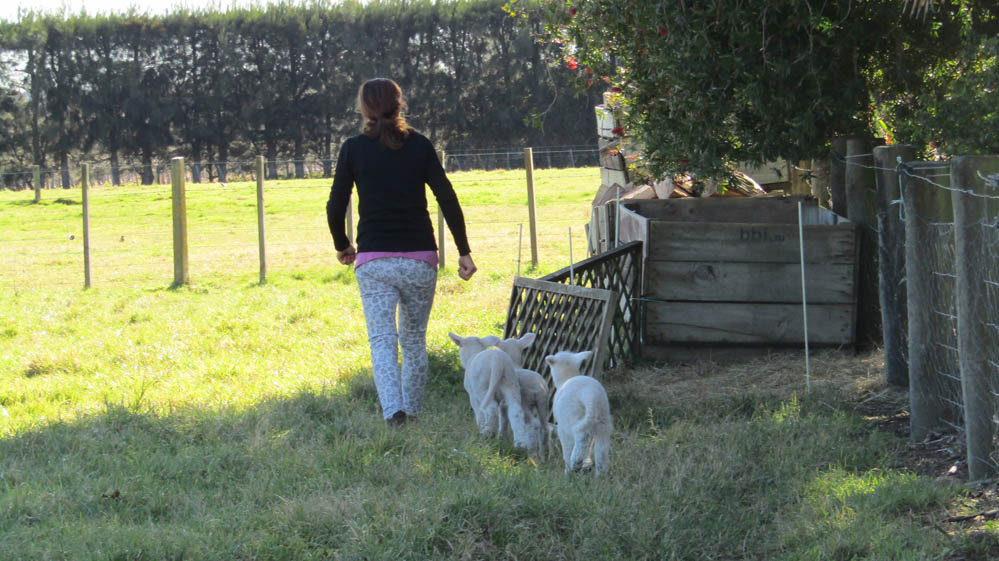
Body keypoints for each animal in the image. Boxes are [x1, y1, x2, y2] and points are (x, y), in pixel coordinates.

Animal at [482, 332, 552, 460]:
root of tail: (539, 388)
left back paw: (531, 452)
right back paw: (544, 456)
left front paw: (501, 437)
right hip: (543, 404)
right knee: (545, 427)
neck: (515, 364)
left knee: (533, 424)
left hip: (525, 402)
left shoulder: (503, 404)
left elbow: (503, 420)